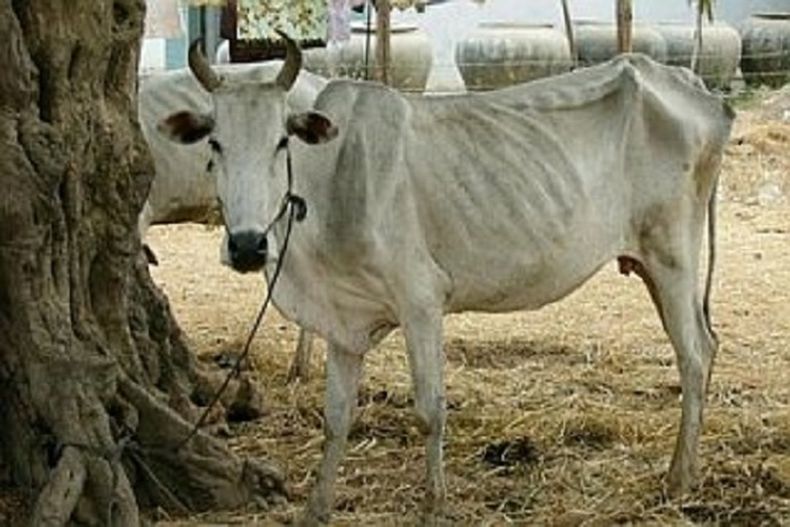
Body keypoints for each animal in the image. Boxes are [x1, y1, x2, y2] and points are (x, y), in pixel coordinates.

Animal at [158, 35, 734, 525]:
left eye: (282, 143)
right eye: (214, 144)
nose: (247, 245)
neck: (331, 185)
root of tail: (697, 89)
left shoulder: (421, 301)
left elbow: (429, 410)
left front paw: (434, 504)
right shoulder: (344, 322)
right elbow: (336, 417)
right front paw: (316, 509)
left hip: (673, 256)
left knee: (694, 354)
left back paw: (679, 478)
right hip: (654, 266)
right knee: (705, 346)